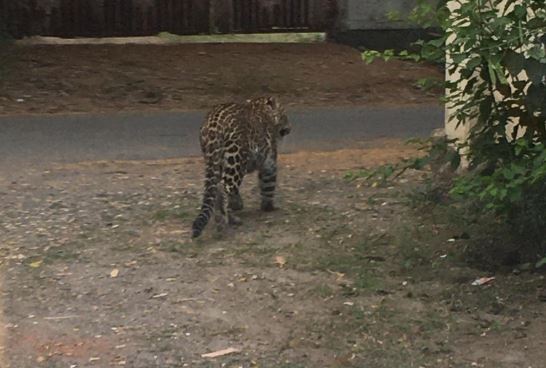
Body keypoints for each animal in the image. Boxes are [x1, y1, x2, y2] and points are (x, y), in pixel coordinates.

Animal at [189, 96, 288, 237]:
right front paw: (268, 207)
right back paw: (223, 221)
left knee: (218, 188)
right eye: (284, 115)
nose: (289, 128)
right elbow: (268, 185)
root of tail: (214, 123)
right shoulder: (269, 163)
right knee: (223, 188)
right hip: (236, 158)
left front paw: (237, 204)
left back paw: (229, 217)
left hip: (214, 162)